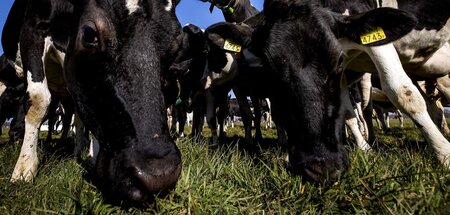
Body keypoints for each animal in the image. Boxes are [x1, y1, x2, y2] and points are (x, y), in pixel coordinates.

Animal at [2, 0, 181, 205]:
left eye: (177, 44)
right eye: (89, 34)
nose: (158, 175)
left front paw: (91, 156)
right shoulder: (33, 27)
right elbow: (38, 99)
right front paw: (24, 168)